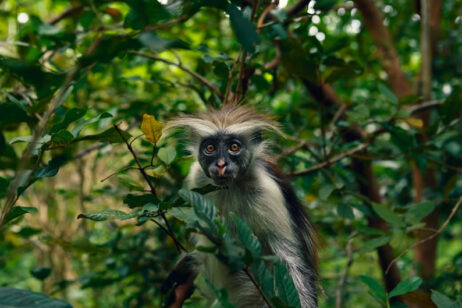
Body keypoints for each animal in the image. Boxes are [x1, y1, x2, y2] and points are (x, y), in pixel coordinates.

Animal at [162, 105, 318, 308]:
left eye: (233, 147)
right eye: (210, 148)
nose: (221, 164)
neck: (231, 186)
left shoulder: (268, 190)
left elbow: (289, 260)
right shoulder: (197, 176)